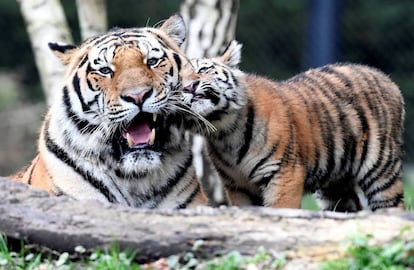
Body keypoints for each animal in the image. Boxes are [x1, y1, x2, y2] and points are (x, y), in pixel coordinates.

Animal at [179, 41, 404, 211]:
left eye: (203, 70)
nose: (188, 87)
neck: (224, 130)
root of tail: (387, 79)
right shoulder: (238, 186)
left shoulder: (283, 174)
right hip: (335, 184)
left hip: (381, 169)